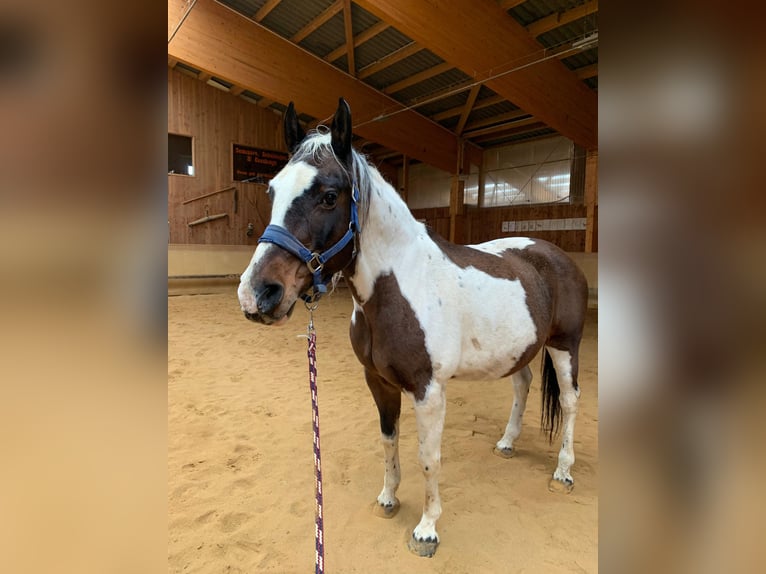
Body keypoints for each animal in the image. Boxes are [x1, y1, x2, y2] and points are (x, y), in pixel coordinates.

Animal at [238, 98, 588, 560]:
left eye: (329, 196)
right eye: (273, 191)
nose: (257, 294)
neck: (400, 285)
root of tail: (555, 254)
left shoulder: (429, 391)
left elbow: (429, 457)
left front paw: (426, 529)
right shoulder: (378, 382)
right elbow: (389, 441)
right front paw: (388, 499)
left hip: (565, 346)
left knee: (569, 401)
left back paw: (564, 472)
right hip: (519, 350)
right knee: (523, 384)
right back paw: (507, 443)